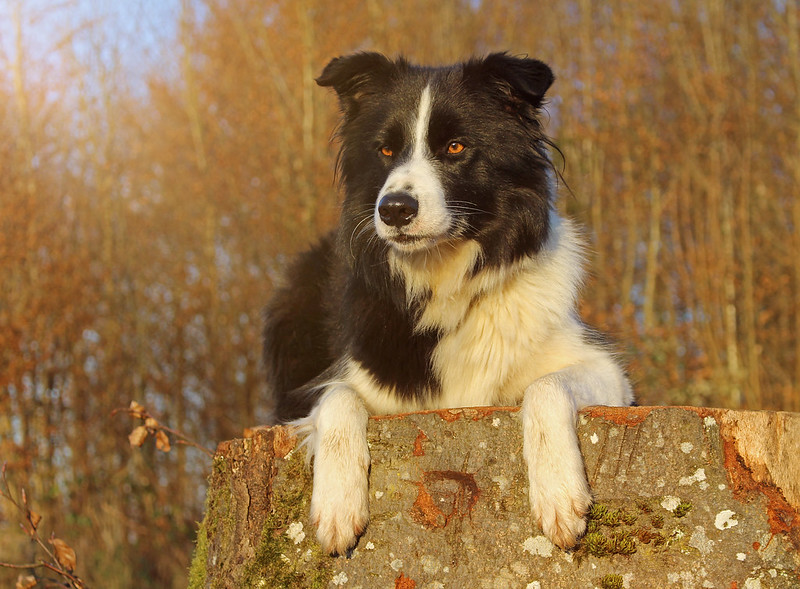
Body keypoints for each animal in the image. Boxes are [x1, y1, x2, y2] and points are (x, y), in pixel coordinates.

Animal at [262, 52, 632, 552]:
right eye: (385, 151)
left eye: (455, 147)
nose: (394, 210)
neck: (446, 276)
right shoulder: (344, 382)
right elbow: (338, 397)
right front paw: (337, 505)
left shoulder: (606, 373)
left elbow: (546, 385)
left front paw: (559, 492)